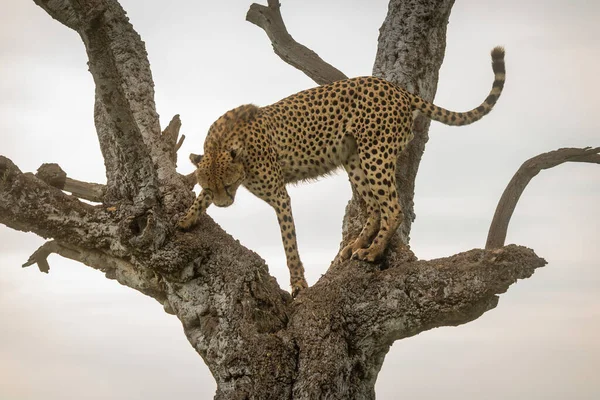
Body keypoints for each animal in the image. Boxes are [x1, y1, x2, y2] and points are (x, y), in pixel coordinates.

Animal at [179, 47, 506, 296]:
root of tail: (397, 89)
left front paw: (298, 285)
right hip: (354, 159)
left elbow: (289, 244)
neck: (228, 145)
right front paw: (186, 218)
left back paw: (372, 252)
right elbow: (198, 198)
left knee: (392, 207)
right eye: (213, 187)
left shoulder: (280, 196)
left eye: (227, 185)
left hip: (375, 153)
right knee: (374, 207)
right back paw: (356, 245)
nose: (224, 204)